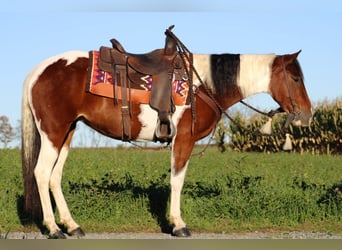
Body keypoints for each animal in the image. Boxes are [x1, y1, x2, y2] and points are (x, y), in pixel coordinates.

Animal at [20, 32, 310, 237]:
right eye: (296, 79)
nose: (308, 114)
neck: (203, 84)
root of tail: (38, 70)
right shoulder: (183, 140)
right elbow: (177, 181)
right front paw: (178, 224)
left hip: (66, 133)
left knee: (55, 177)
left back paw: (71, 225)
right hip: (53, 133)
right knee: (42, 173)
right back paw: (54, 229)